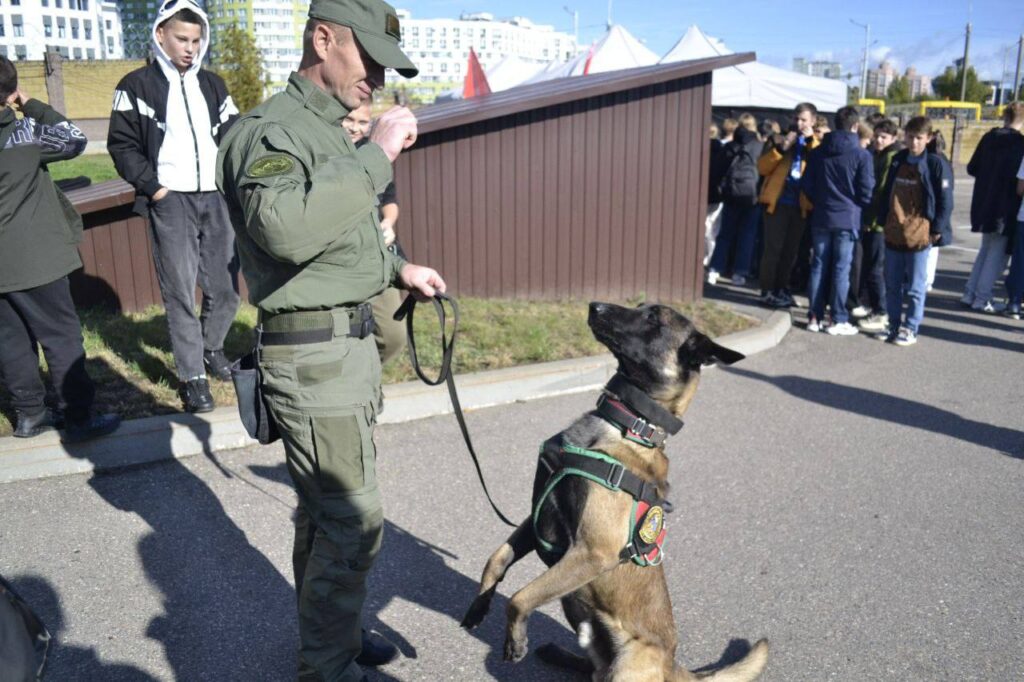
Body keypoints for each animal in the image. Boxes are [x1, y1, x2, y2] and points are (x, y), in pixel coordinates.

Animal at [462, 301, 770, 675]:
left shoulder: (594, 551)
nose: (595, 305)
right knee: (593, 667)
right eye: (640, 306)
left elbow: (521, 597)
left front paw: (515, 636)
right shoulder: (535, 519)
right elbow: (496, 558)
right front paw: (478, 605)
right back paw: (560, 655)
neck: (630, 425)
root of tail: (674, 667)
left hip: (627, 660)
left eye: (653, 318)